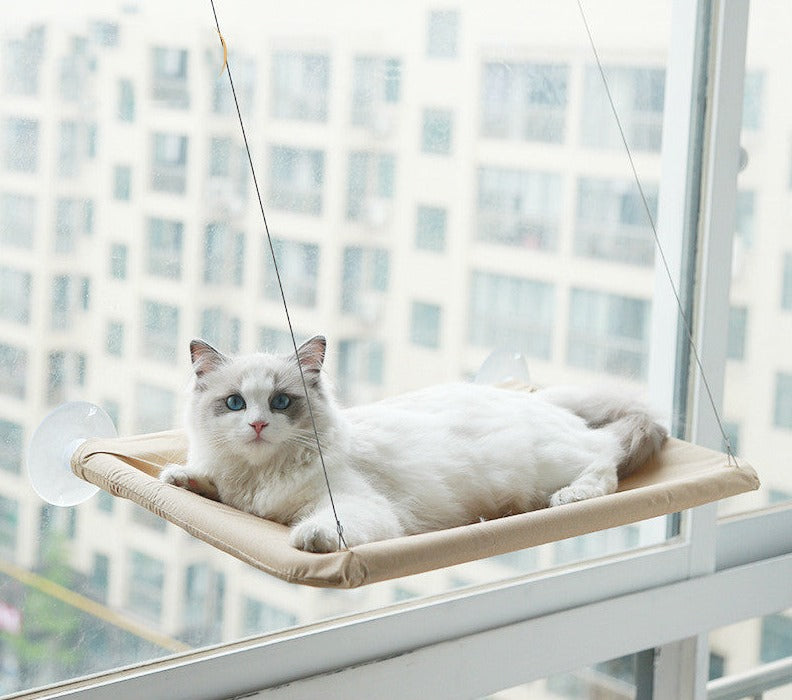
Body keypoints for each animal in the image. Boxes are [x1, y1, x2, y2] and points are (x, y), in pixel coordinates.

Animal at [158, 334, 664, 552]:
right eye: (236, 403)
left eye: (281, 402)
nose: (259, 425)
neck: (260, 477)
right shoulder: (235, 491)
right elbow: (208, 483)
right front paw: (180, 478)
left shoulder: (355, 505)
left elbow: (327, 525)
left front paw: (311, 538)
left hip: (553, 462)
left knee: (605, 462)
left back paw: (570, 496)